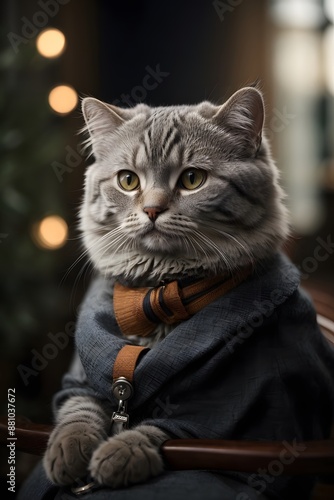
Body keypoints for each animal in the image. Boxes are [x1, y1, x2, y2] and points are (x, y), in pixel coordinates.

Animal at [43, 87, 290, 488]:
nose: (152, 210)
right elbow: (78, 406)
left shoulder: (234, 418)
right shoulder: (78, 381)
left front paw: (122, 452)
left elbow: (178, 430)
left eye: (192, 179)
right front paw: (69, 448)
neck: (156, 298)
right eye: (128, 181)